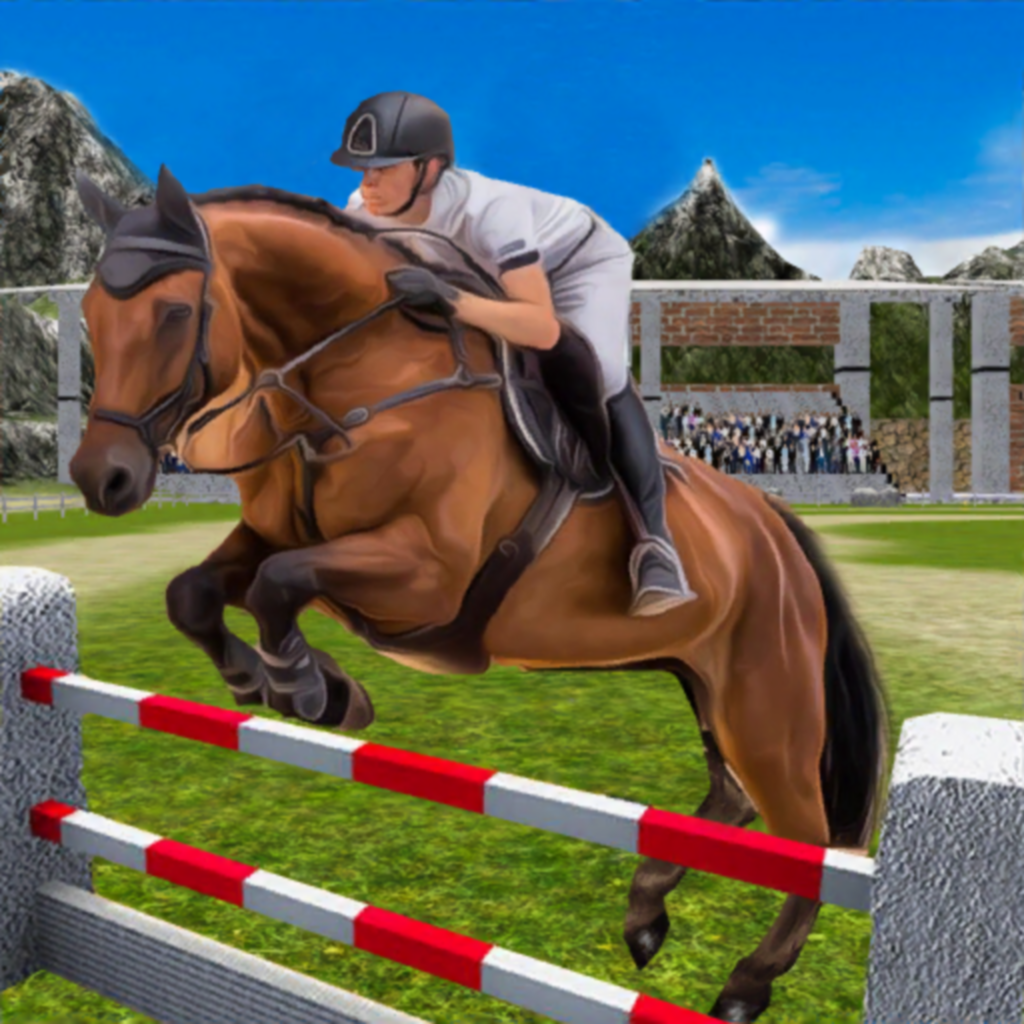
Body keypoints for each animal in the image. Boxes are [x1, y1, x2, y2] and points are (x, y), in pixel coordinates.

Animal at [69, 165, 887, 1023]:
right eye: (88, 314)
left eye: (174, 313)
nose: (103, 479)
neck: (355, 381)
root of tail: (778, 527)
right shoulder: (276, 534)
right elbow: (196, 592)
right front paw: (279, 682)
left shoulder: (426, 572)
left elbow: (275, 584)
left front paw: (310, 689)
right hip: (706, 683)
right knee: (734, 804)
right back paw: (645, 913)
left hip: (767, 702)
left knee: (807, 836)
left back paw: (746, 982)